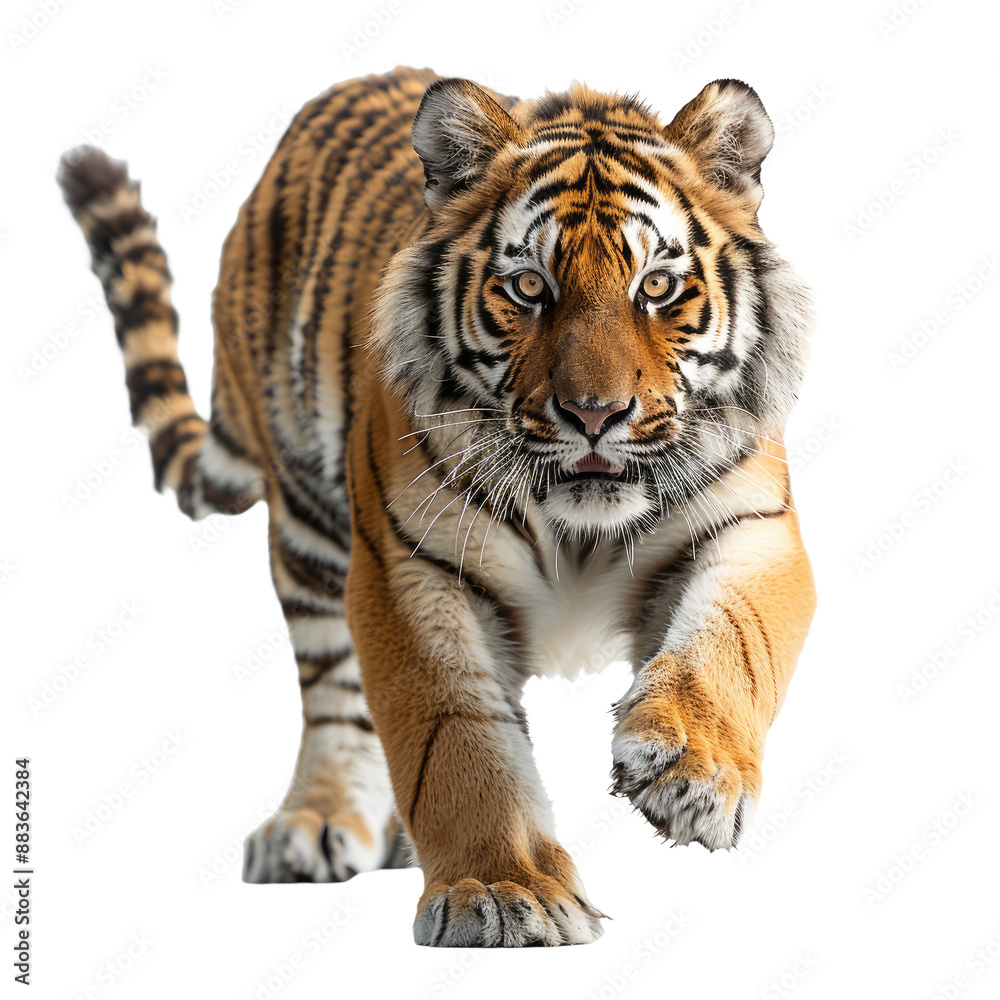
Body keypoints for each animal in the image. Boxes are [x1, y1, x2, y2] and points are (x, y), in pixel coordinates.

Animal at [58, 64, 816, 947]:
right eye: (528, 287)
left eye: (656, 286)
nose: (594, 414)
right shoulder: (411, 567)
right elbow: (454, 738)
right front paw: (504, 890)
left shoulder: (752, 528)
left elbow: (731, 644)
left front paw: (692, 772)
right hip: (310, 525)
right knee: (334, 695)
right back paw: (320, 824)